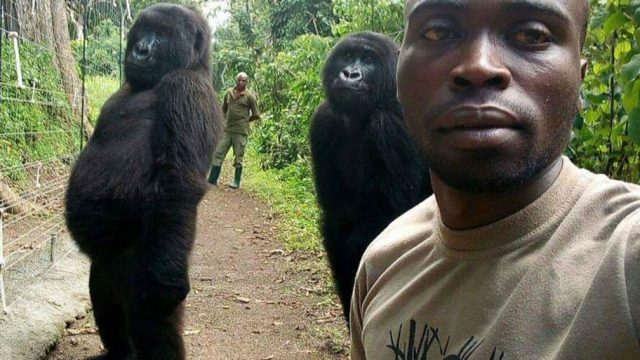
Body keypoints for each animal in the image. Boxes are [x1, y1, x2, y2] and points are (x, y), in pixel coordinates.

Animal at [65, 3, 220, 360]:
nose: (141, 49)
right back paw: (117, 353)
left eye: (162, 35)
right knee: (103, 293)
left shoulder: (187, 89)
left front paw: (166, 286)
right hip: (106, 264)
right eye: (144, 30)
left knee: (151, 322)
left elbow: (178, 186)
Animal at [308, 32, 432, 322]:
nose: (350, 74)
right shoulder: (323, 121)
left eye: (367, 59)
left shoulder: (391, 126)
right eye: (347, 56)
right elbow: (337, 224)